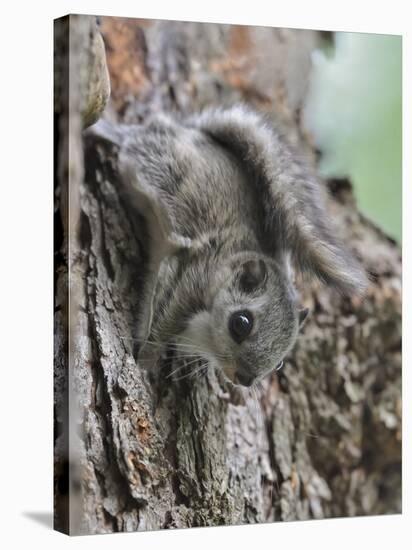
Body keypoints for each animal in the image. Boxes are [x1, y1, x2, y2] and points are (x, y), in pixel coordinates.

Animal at [90, 103, 366, 388]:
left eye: (280, 363)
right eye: (241, 323)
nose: (245, 379)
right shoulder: (190, 277)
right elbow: (161, 320)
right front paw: (144, 361)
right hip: (158, 163)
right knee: (133, 138)